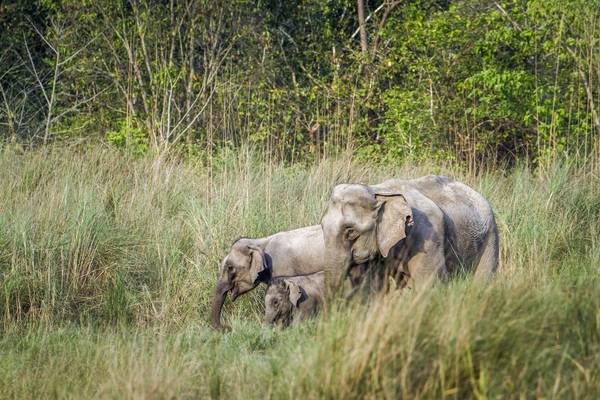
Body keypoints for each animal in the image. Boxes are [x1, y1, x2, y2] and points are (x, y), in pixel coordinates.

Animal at [322, 175, 500, 294]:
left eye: (350, 231)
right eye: (322, 227)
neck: (378, 191)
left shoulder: (427, 236)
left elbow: (428, 283)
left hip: (491, 236)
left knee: (482, 279)